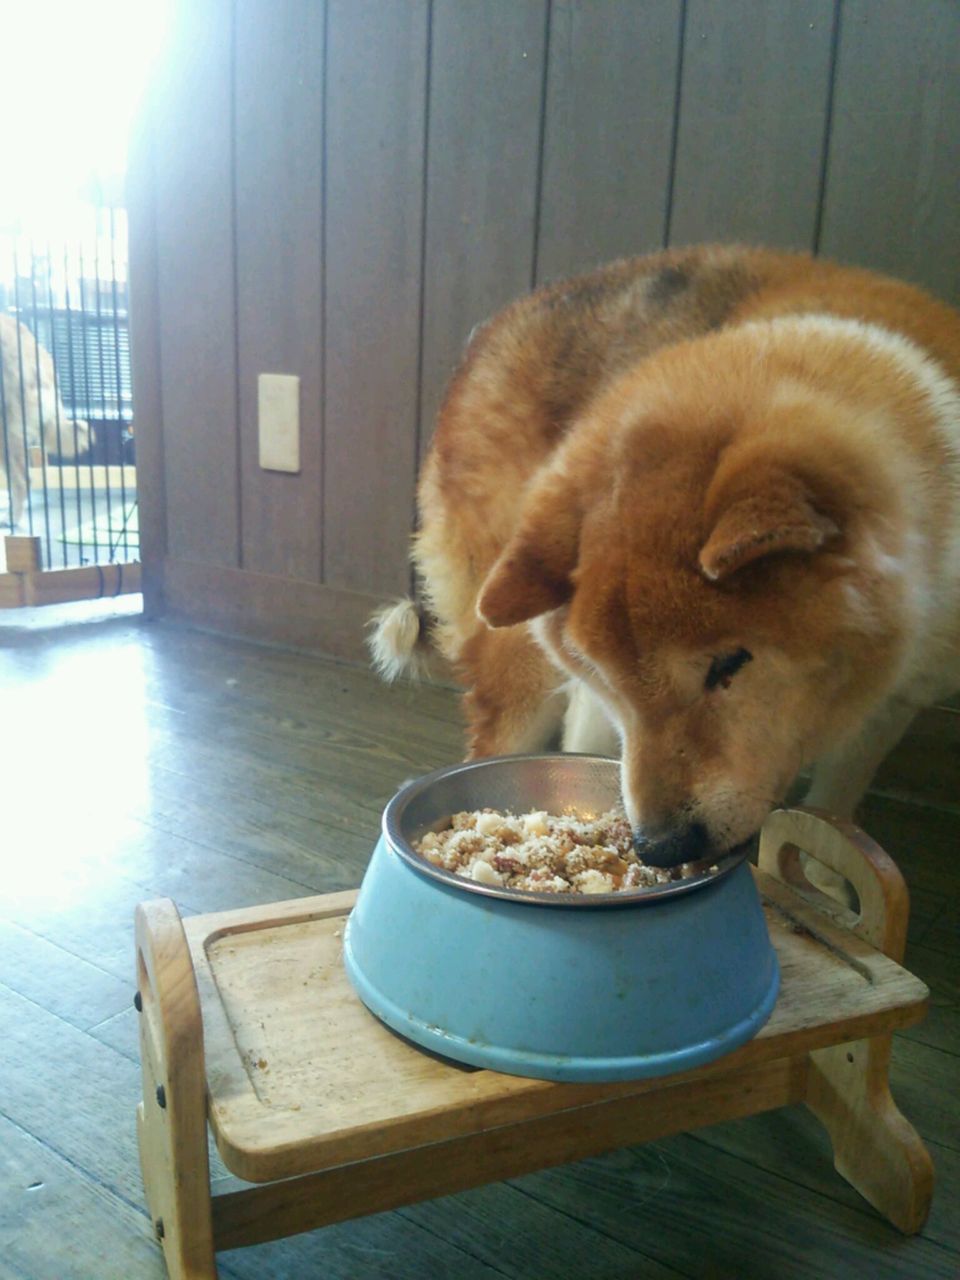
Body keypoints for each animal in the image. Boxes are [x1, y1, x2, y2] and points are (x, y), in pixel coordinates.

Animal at [370, 245, 960, 889]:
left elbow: (836, 801)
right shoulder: (593, 700)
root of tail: (486, 336)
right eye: (613, 680)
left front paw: (828, 883)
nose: (661, 847)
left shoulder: (897, 696)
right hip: (519, 655)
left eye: (730, 664)